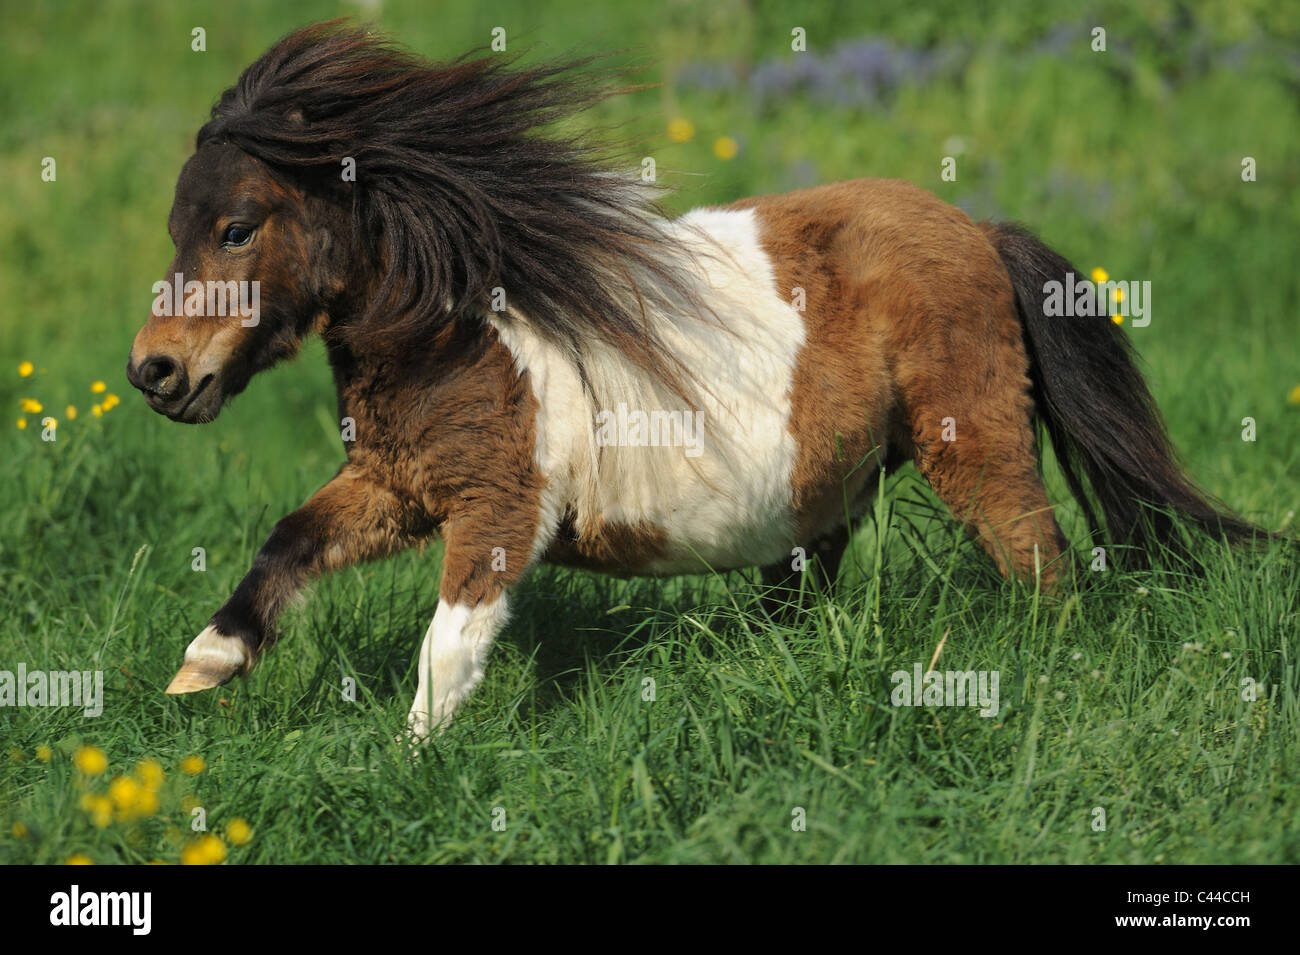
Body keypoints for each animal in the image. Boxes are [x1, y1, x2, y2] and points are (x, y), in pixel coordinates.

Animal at [126, 22, 1263, 738]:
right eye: (176, 223)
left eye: (237, 226)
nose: (154, 371)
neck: (464, 330)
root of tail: (977, 231)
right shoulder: (399, 489)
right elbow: (289, 541)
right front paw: (204, 666)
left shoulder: (499, 509)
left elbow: (448, 645)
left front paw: (414, 760)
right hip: (833, 488)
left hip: (971, 444)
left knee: (1039, 562)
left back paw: (1045, 676)